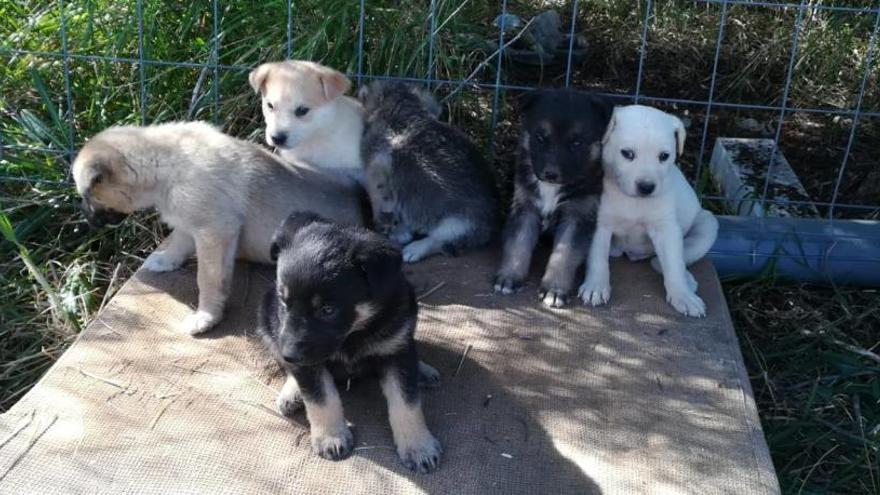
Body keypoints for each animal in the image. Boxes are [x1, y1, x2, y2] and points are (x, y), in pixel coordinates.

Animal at [70, 122, 368, 336]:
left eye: (87, 197)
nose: (86, 220)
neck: (162, 164)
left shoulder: (214, 232)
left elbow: (208, 279)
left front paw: (206, 317)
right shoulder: (190, 224)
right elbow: (178, 243)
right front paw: (165, 261)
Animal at [258, 212, 444, 472]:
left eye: (328, 310)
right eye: (284, 302)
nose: (289, 354)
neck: (353, 333)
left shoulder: (395, 350)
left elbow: (406, 402)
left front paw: (418, 446)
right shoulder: (305, 359)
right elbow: (320, 397)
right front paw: (331, 437)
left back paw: (423, 370)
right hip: (267, 318)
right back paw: (291, 392)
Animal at [356, 80, 496, 264]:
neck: (404, 110)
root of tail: (490, 227)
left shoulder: (377, 173)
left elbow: (384, 205)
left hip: (457, 224)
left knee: (440, 241)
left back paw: (415, 249)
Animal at [496, 88, 612, 306]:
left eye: (576, 143)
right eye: (540, 138)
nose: (550, 174)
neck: (551, 188)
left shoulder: (577, 216)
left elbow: (564, 254)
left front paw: (554, 290)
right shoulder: (525, 207)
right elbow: (517, 244)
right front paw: (509, 277)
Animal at [576, 106, 720, 320]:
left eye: (664, 156)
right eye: (627, 153)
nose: (646, 187)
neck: (634, 201)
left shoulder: (666, 229)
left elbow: (674, 263)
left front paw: (683, 296)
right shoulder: (599, 225)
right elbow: (597, 257)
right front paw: (596, 287)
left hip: (707, 224)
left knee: (669, 260)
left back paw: (687, 280)